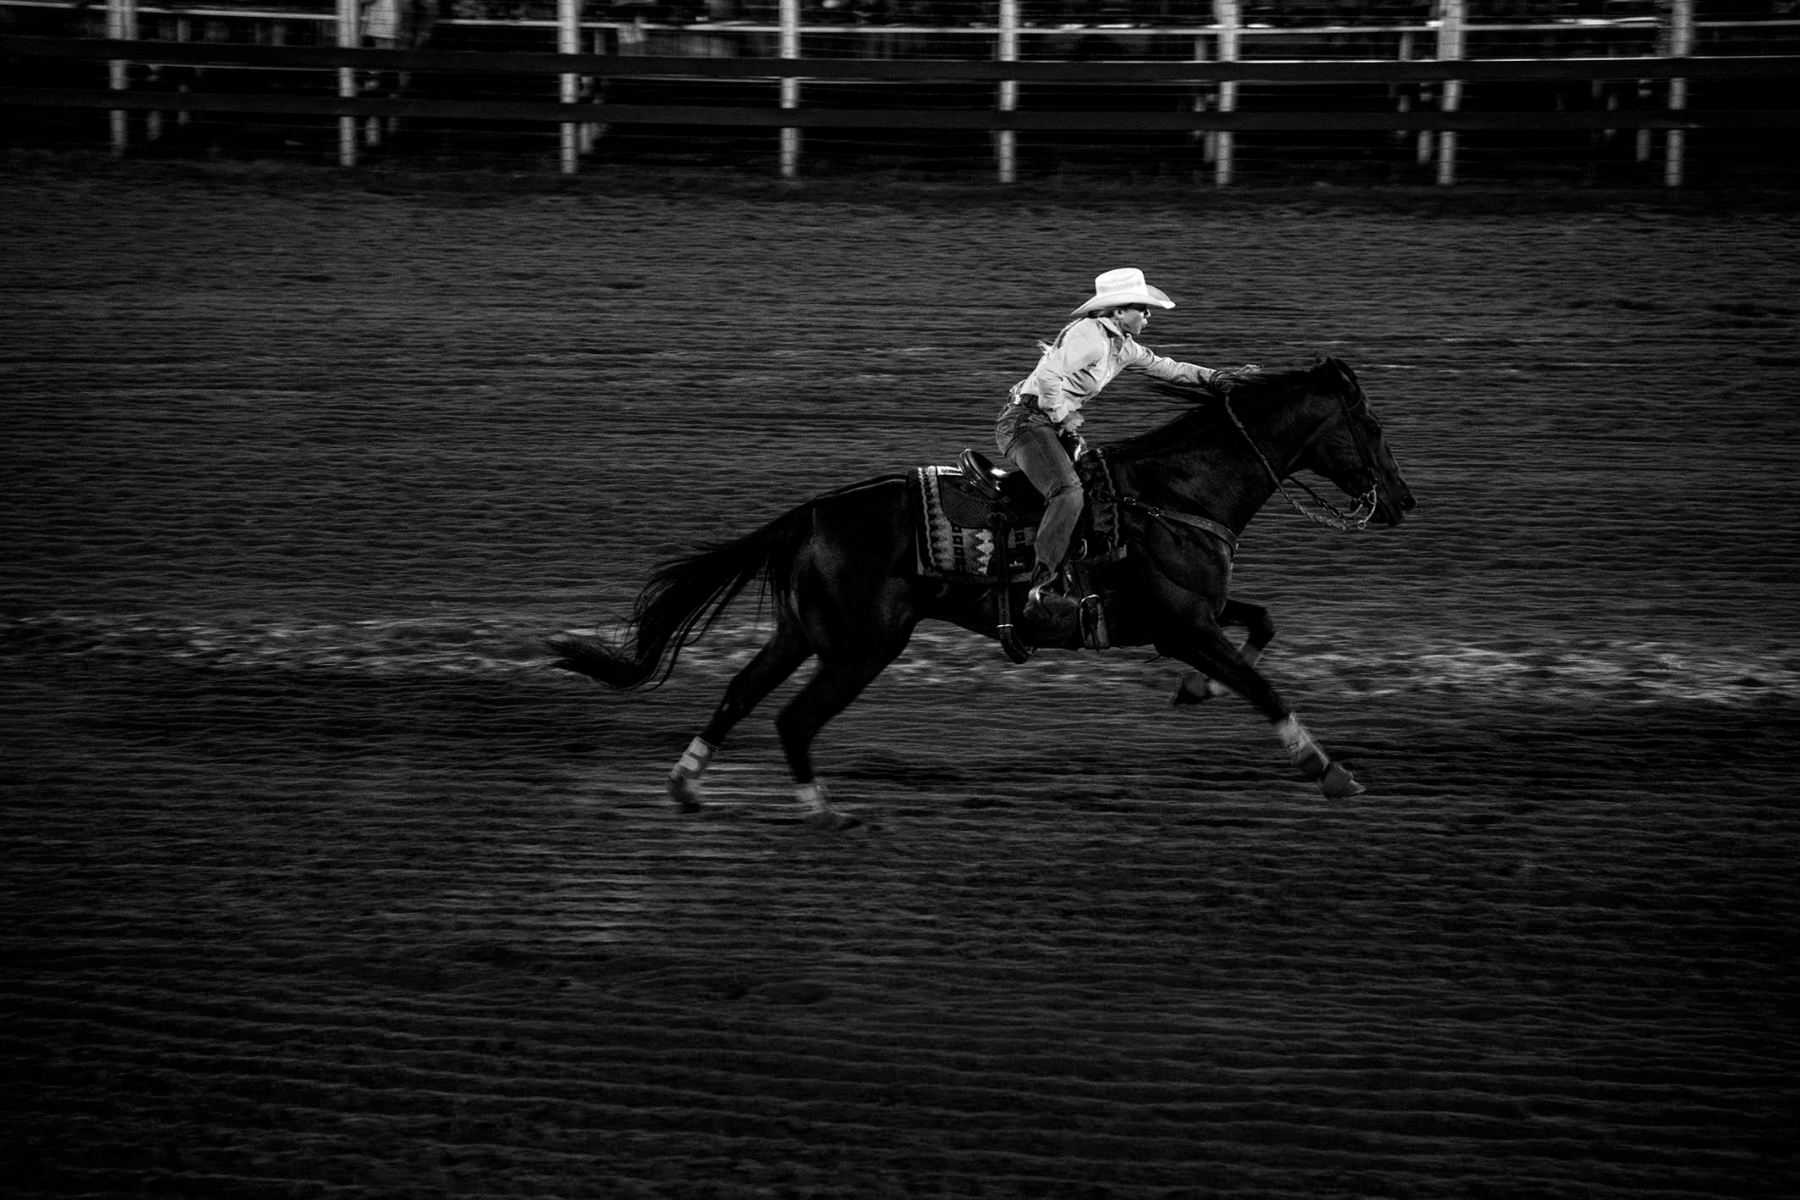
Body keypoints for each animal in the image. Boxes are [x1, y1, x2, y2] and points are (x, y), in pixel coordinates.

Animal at [550, 356, 1418, 827]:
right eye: (1372, 427)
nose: (1404, 503)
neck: (1175, 494)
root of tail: (814, 513)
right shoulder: (1183, 625)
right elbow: (1264, 686)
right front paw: (1329, 771)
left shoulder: (1191, 615)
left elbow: (1262, 623)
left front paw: (1194, 692)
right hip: (862, 649)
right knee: (794, 719)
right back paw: (825, 812)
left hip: (804, 634)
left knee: (738, 694)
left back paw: (688, 786)